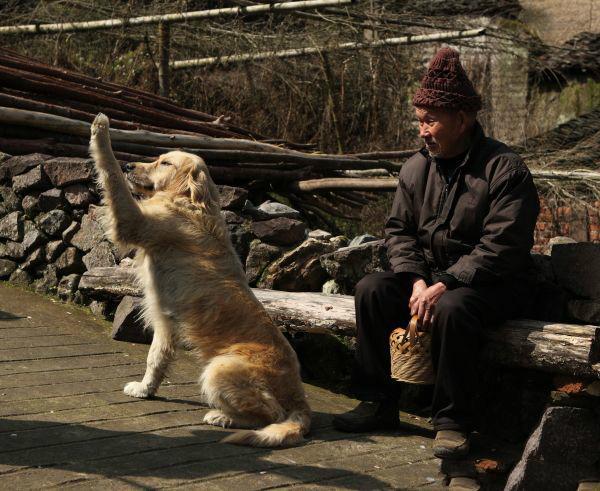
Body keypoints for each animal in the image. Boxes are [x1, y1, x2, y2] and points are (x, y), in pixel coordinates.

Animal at [92, 113, 314, 448]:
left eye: (165, 162)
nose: (132, 165)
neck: (191, 200)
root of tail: (300, 397)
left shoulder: (133, 220)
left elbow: (112, 174)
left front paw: (101, 130)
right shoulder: (165, 319)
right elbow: (156, 357)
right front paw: (145, 389)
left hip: (220, 367)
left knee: (270, 414)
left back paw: (223, 417)